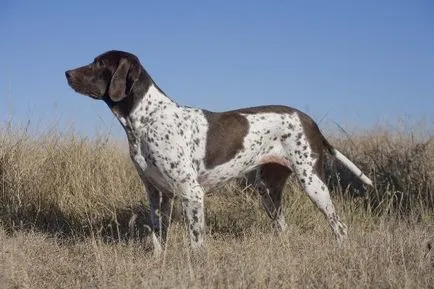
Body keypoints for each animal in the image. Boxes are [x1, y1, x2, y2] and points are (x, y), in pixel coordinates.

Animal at [65, 50, 372, 252]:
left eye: (99, 63)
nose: (66, 73)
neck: (147, 118)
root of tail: (309, 119)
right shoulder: (157, 193)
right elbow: (158, 236)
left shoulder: (191, 193)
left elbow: (196, 242)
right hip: (268, 189)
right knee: (282, 226)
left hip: (312, 182)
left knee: (339, 226)